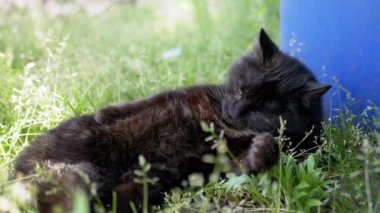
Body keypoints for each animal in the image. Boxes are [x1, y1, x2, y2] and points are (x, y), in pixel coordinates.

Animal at [14, 29, 330, 212]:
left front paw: (261, 151)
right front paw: (105, 115)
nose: (235, 111)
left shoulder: (225, 164)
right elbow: (133, 106)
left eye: (262, 110)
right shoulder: (180, 97)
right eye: (241, 89)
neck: (219, 120)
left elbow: (250, 162)